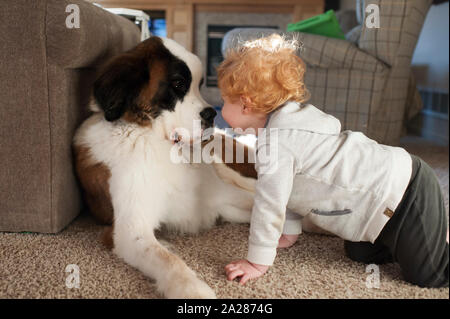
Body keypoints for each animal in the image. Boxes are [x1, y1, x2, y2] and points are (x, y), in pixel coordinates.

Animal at [72, 36, 258, 298]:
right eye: (178, 84)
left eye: (199, 85)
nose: (211, 114)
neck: (149, 136)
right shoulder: (129, 230)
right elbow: (169, 259)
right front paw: (191, 288)